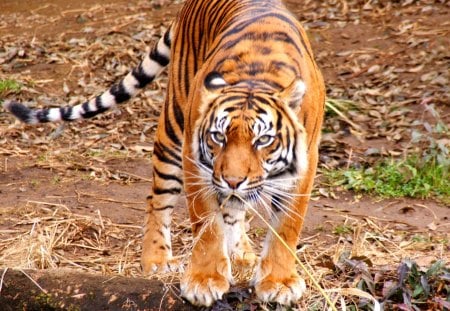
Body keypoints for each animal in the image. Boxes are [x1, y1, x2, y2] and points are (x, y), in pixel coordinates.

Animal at [5, 0, 326, 308]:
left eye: (263, 140)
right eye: (218, 136)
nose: (233, 180)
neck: (255, 77)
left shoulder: (303, 167)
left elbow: (287, 227)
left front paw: (279, 283)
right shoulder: (195, 161)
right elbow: (207, 226)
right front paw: (204, 281)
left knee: (234, 208)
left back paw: (241, 253)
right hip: (172, 129)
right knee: (157, 200)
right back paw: (157, 261)